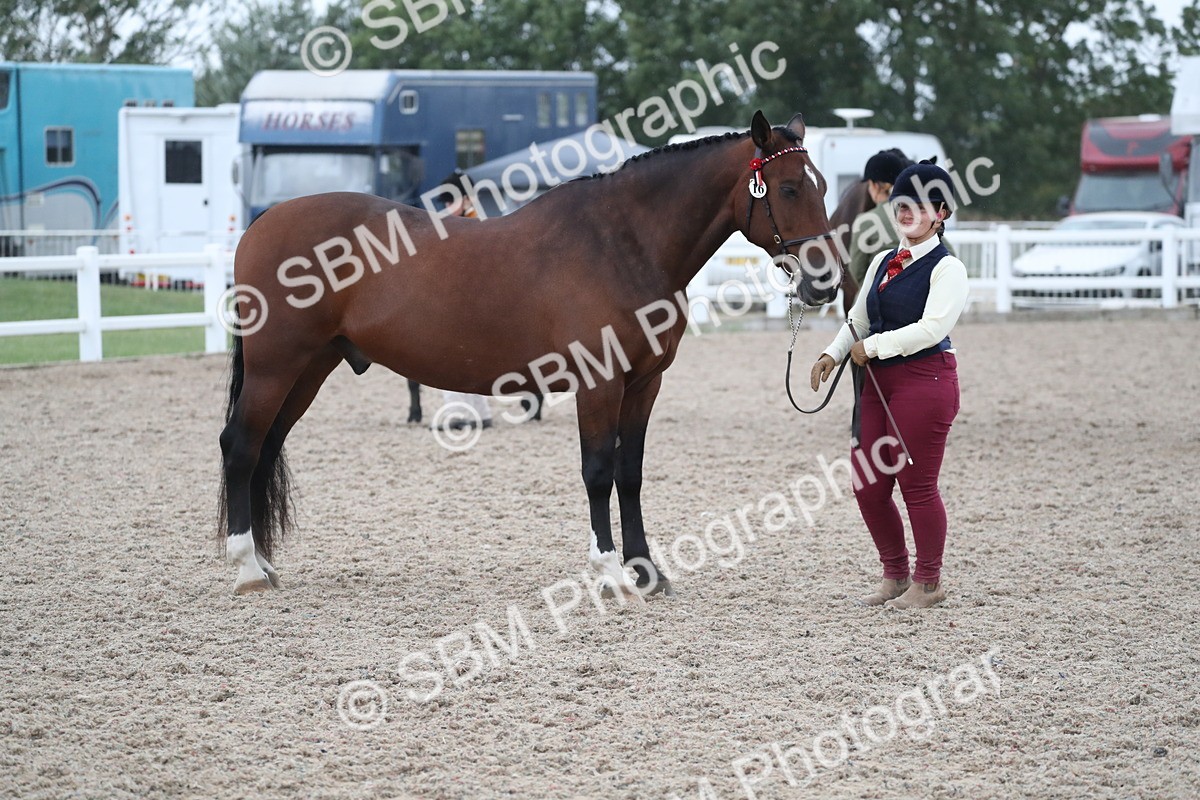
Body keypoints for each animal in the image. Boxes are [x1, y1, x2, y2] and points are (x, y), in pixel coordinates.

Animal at [218, 110, 842, 597]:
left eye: (822, 186)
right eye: (789, 188)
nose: (827, 282)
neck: (622, 244)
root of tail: (262, 223)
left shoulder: (644, 384)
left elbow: (631, 473)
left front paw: (647, 571)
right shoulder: (599, 383)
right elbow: (598, 471)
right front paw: (610, 573)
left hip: (309, 368)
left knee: (267, 447)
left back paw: (265, 564)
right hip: (276, 367)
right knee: (242, 445)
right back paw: (247, 570)